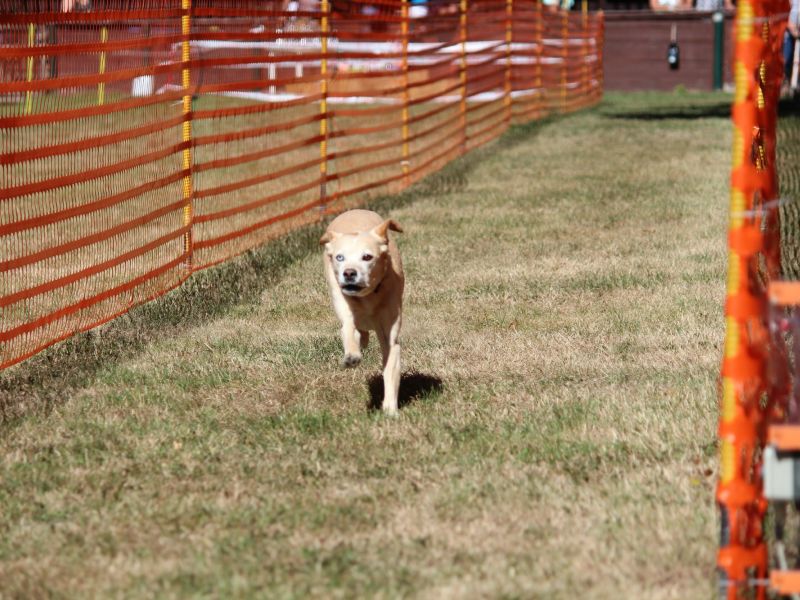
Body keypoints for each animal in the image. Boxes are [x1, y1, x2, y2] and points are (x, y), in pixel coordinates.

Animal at [320, 210, 404, 412]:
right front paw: (352, 356)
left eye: (367, 257)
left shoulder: (389, 332)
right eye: (339, 257)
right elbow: (349, 330)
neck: (367, 298)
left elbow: (391, 362)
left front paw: (390, 409)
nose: (349, 273)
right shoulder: (346, 309)